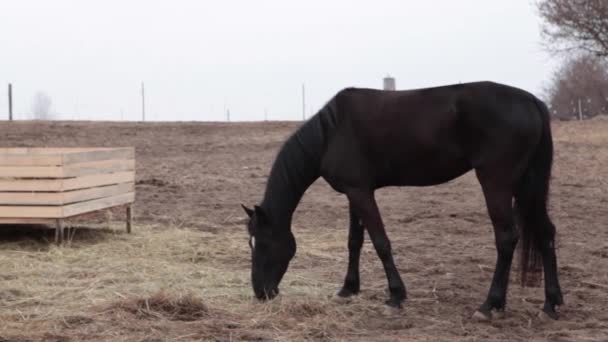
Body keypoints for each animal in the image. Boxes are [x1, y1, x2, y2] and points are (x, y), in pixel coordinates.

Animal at [240, 81, 564, 320]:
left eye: (263, 244)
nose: (260, 292)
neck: (330, 133)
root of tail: (531, 101)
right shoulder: (355, 192)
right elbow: (355, 242)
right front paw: (348, 289)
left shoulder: (361, 193)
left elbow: (381, 242)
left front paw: (395, 296)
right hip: (527, 185)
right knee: (545, 233)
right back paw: (549, 304)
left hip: (497, 183)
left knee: (507, 238)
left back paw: (489, 305)